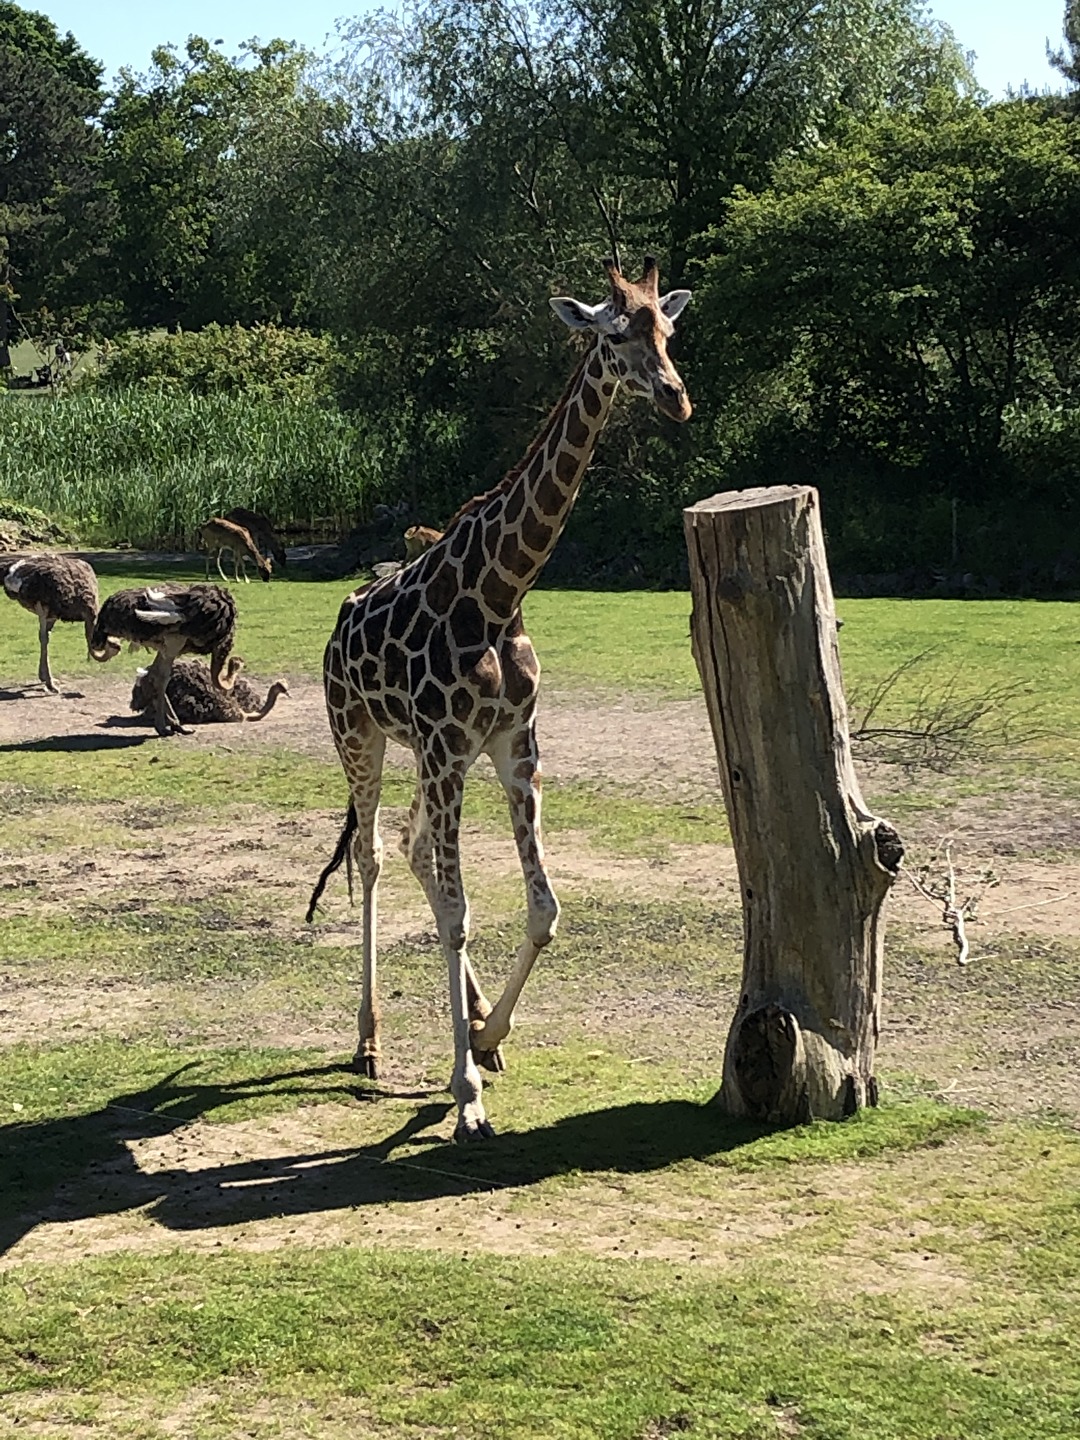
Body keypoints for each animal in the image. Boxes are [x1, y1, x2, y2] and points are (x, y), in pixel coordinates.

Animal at [319, 253, 694, 1140]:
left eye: (669, 328)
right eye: (613, 333)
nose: (677, 398)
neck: (499, 592)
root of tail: (337, 624)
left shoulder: (511, 744)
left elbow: (542, 908)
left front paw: (487, 1039)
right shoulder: (450, 748)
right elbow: (460, 913)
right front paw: (465, 1097)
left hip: (425, 760)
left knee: (415, 849)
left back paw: (474, 1020)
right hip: (360, 736)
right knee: (375, 855)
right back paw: (369, 1039)